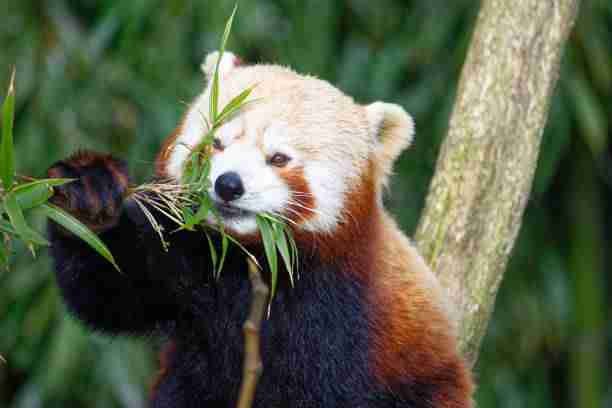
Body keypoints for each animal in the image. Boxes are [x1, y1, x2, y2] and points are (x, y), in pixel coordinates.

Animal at [46, 51, 474, 408]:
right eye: (216, 142)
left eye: (279, 158)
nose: (228, 184)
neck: (252, 257)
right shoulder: (187, 262)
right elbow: (112, 290)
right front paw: (88, 193)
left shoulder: (346, 315)